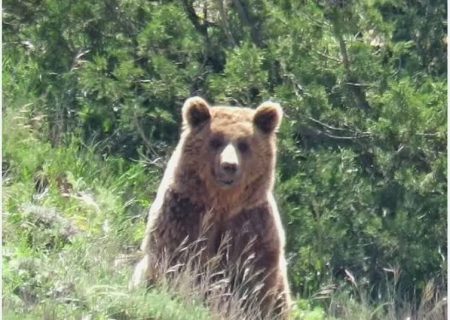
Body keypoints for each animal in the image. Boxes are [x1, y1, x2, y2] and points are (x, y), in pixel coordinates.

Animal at [130, 96, 292, 318]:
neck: (222, 201)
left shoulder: (251, 224)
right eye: (215, 141)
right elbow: (178, 259)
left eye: (244, 144)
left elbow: (253, 275)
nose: (229, 166)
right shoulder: (184, 214)